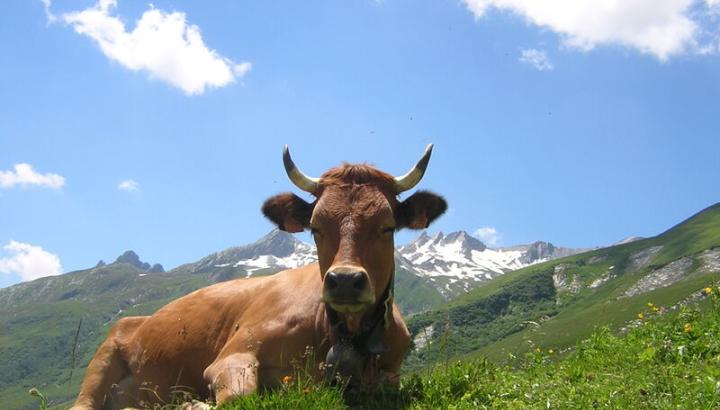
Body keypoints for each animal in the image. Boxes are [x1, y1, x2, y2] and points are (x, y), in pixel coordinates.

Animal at [71, 145, 447, 409]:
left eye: (387, 227)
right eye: (315, 228)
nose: (343, 281)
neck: (338, 332)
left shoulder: (391, 374)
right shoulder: (232, 355)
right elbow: (240, 396)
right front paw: (193, 403)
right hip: (102, 362)